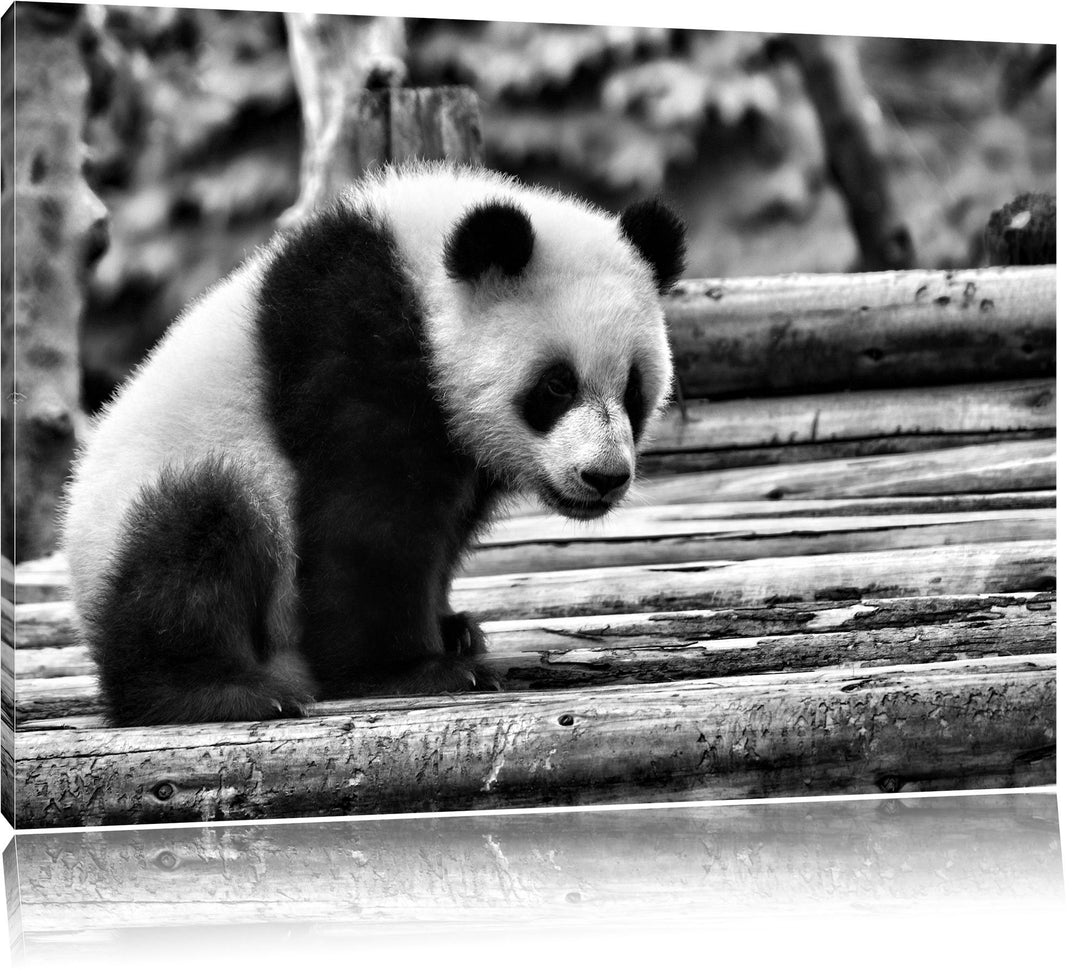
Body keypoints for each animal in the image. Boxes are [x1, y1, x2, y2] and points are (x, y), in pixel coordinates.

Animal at [62, 162, 686, 726]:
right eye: (557, 386)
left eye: (634, 390)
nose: (604, 477)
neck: (419, 274)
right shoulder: (353, 344)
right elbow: (371, 519)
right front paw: (411, 668)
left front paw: (452, 629)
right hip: (161, 499)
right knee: (198, 538)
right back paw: (219, 692)